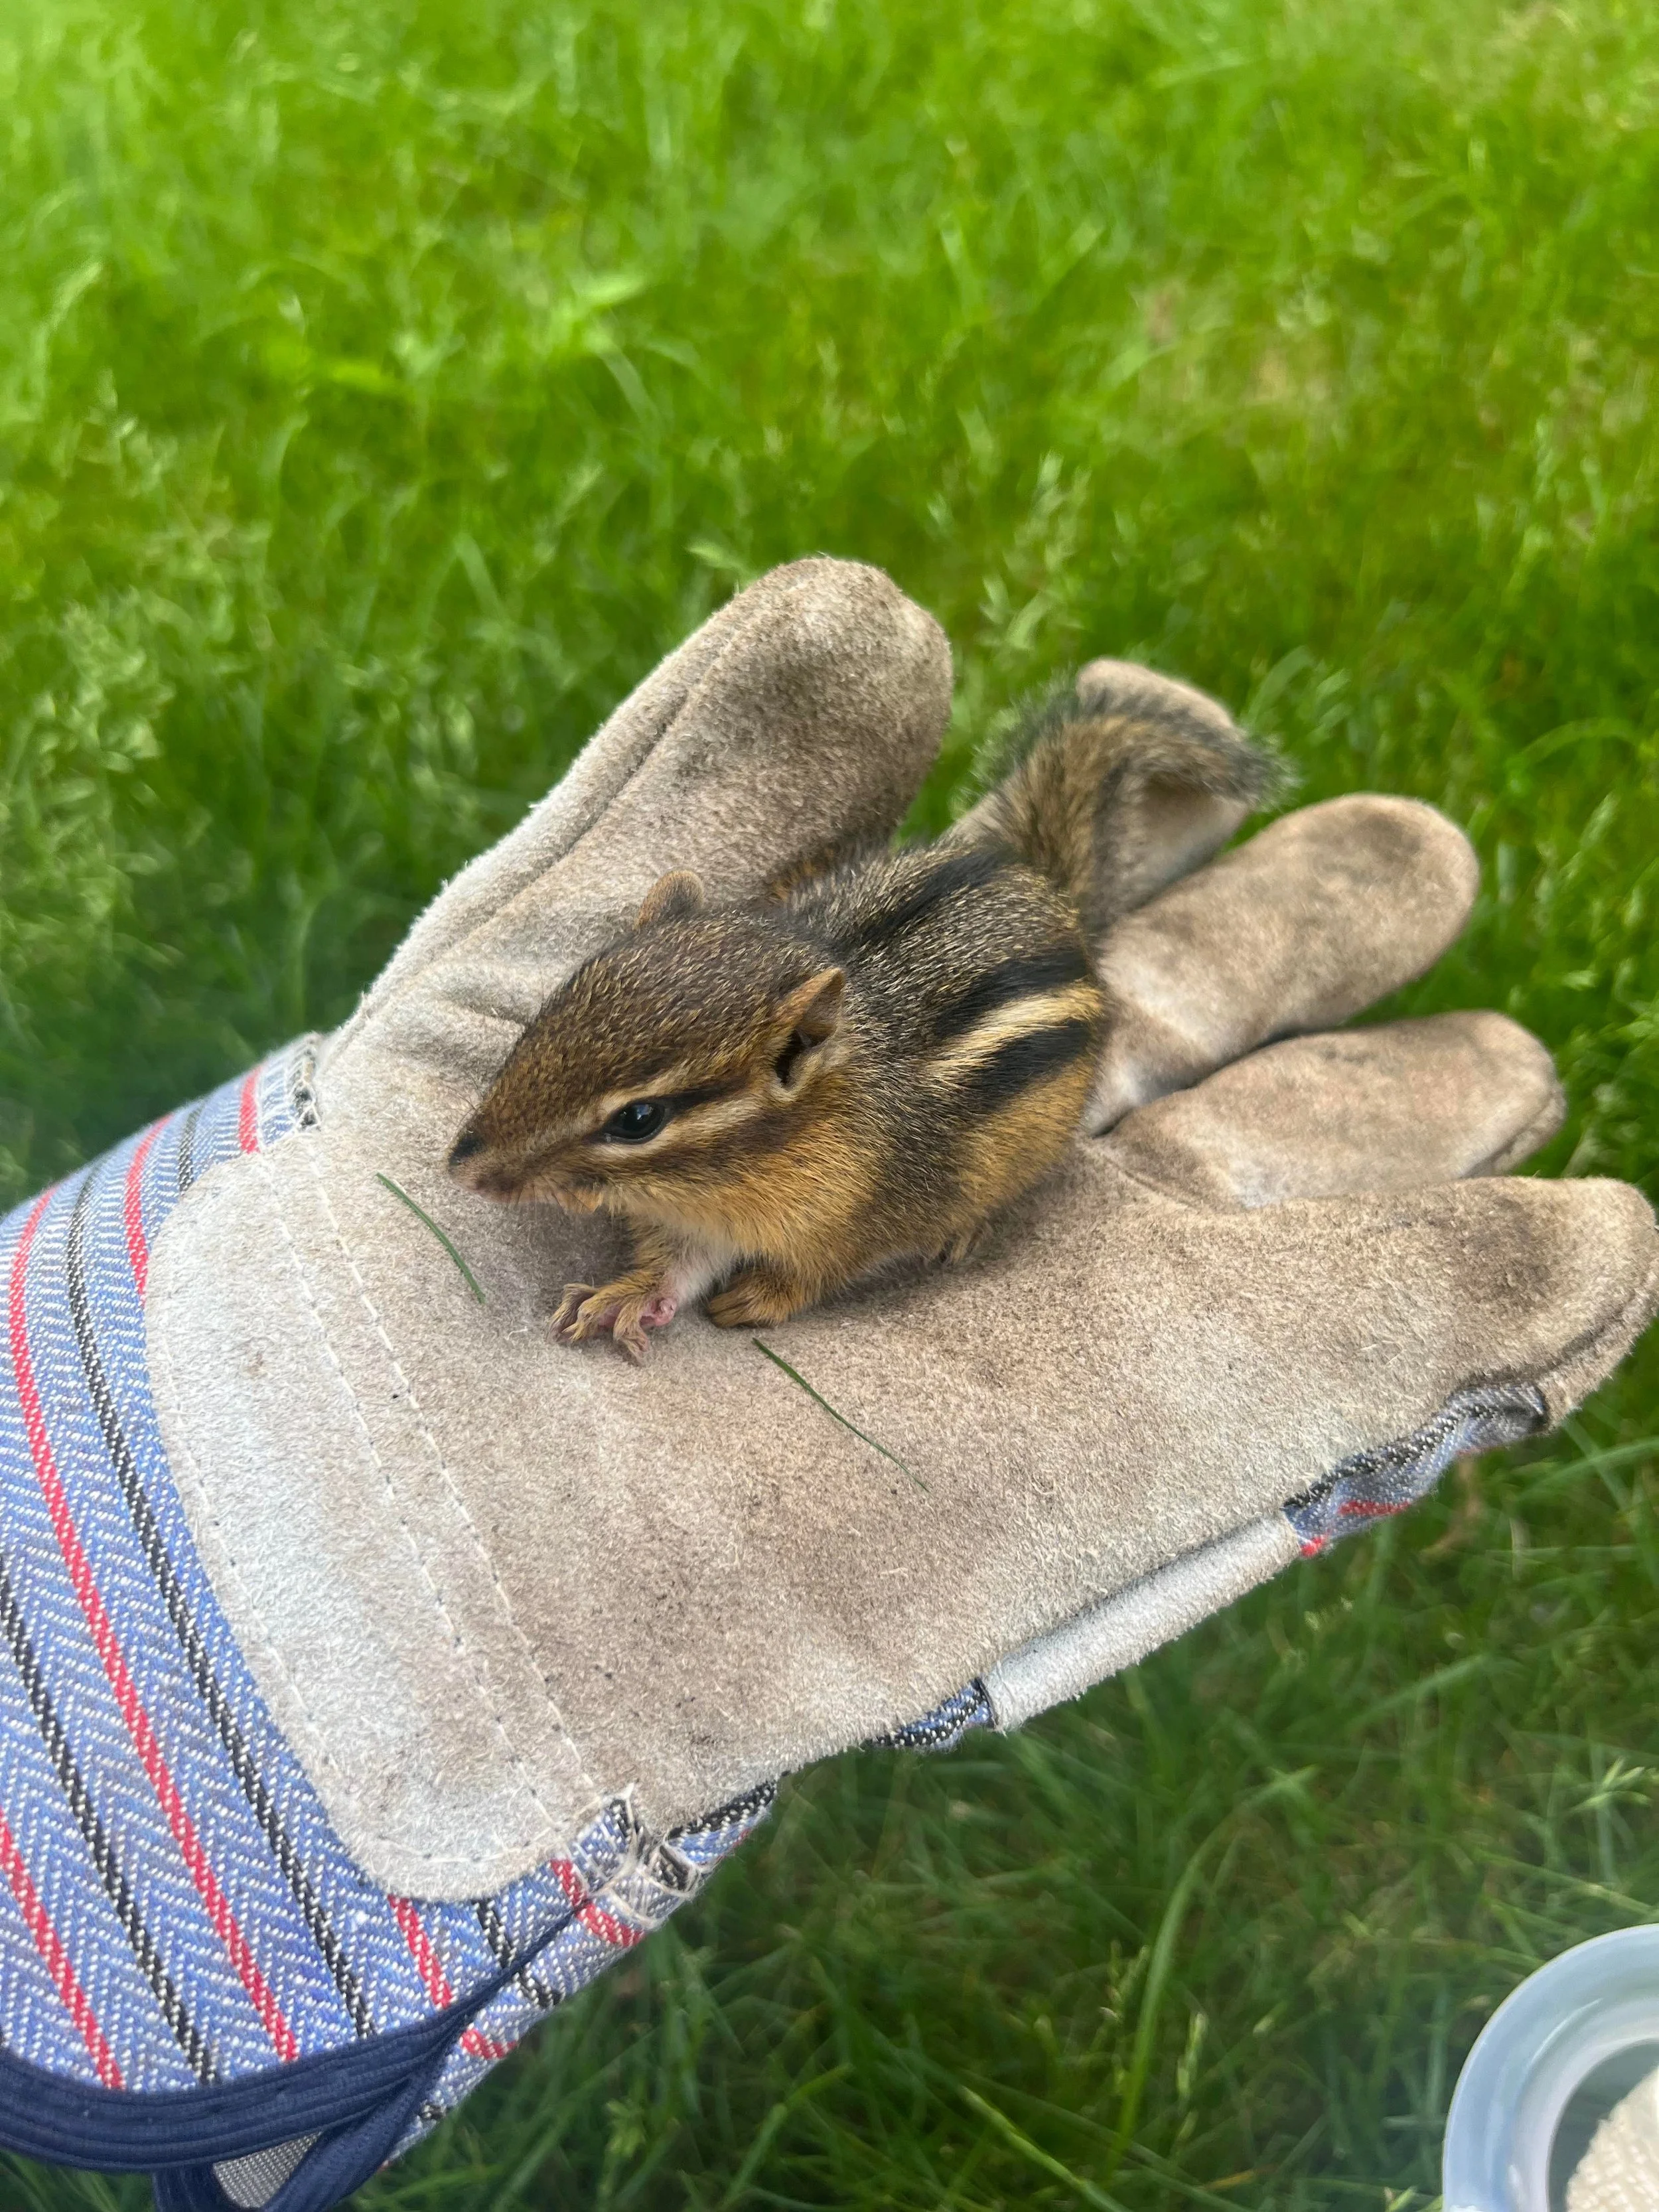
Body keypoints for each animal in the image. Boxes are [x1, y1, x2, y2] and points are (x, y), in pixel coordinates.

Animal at [448, 664, 1273, 1358]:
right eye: (552, 1008)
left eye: (639, 1119)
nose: (466, 1169)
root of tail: (1049, 893)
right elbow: (679, 1265)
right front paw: (629, 1294)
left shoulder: (855, 1218)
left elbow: (817, 1270)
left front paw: (761, 1297)